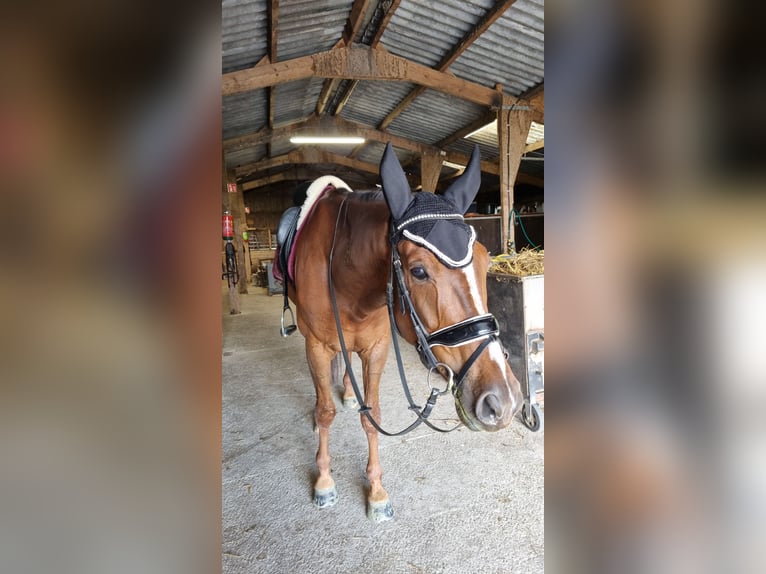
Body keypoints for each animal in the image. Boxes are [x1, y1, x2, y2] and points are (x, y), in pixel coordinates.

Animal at [277, 143, 522, 522]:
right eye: (418, 271)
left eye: (484, 260)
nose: (504, 401)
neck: (343, 270)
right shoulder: (316, 345)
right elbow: (325, 412)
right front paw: (324, 481)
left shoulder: (376, 348)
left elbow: (372, 416)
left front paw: (376, 492)